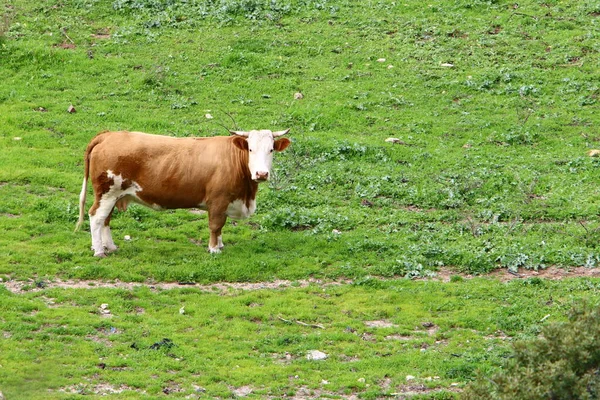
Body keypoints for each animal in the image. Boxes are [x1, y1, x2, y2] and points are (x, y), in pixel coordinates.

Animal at [74, 130, 290, 258]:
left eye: (271, 150)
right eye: (250, 149)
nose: (261, 174)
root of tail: (109, 135)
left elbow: (221, 227)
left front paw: (220, 245)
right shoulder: (218, 200)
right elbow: (215, 225)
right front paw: (214, 249)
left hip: (113, 195)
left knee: (105, 219)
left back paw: (110, 246)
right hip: (107, 193)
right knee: (96, 217)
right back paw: (99, 250)